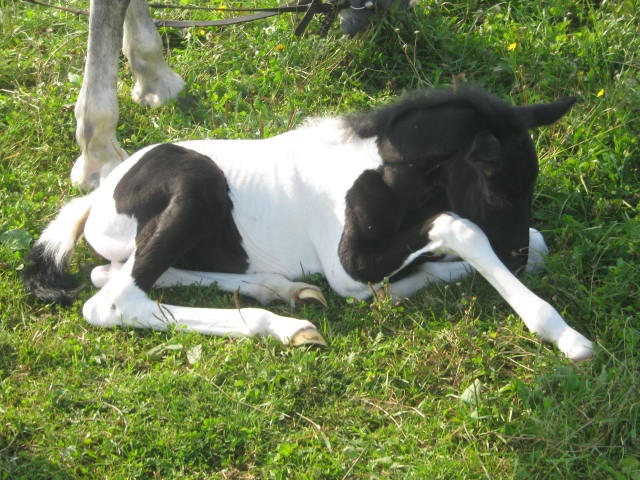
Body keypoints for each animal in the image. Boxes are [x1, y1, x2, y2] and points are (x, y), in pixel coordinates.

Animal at [26, 88, 596, 362]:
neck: (381, 174)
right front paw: (562, 334)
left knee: (117, 275)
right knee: (113, 301)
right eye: (502, 190)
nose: (515, 259)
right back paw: (284, 326)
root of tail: (100, 196)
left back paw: (281, 290)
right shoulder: (348, 264)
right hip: (192, 190)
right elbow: (459, 228)